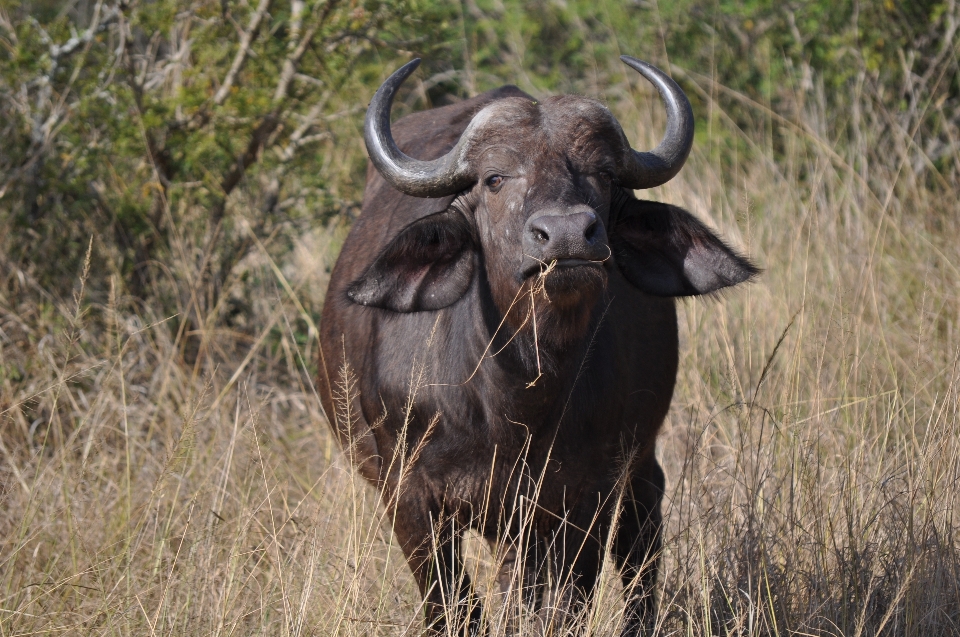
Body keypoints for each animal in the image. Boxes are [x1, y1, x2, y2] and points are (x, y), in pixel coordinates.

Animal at [318, 57, 752, 632]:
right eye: (495, 179)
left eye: (604, 174)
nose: (567, 234)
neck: (516, 397)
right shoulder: (409, 497)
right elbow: (454, 608)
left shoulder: (585, 500)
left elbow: (565, 607)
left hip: (636, 474)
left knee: (640, 553)